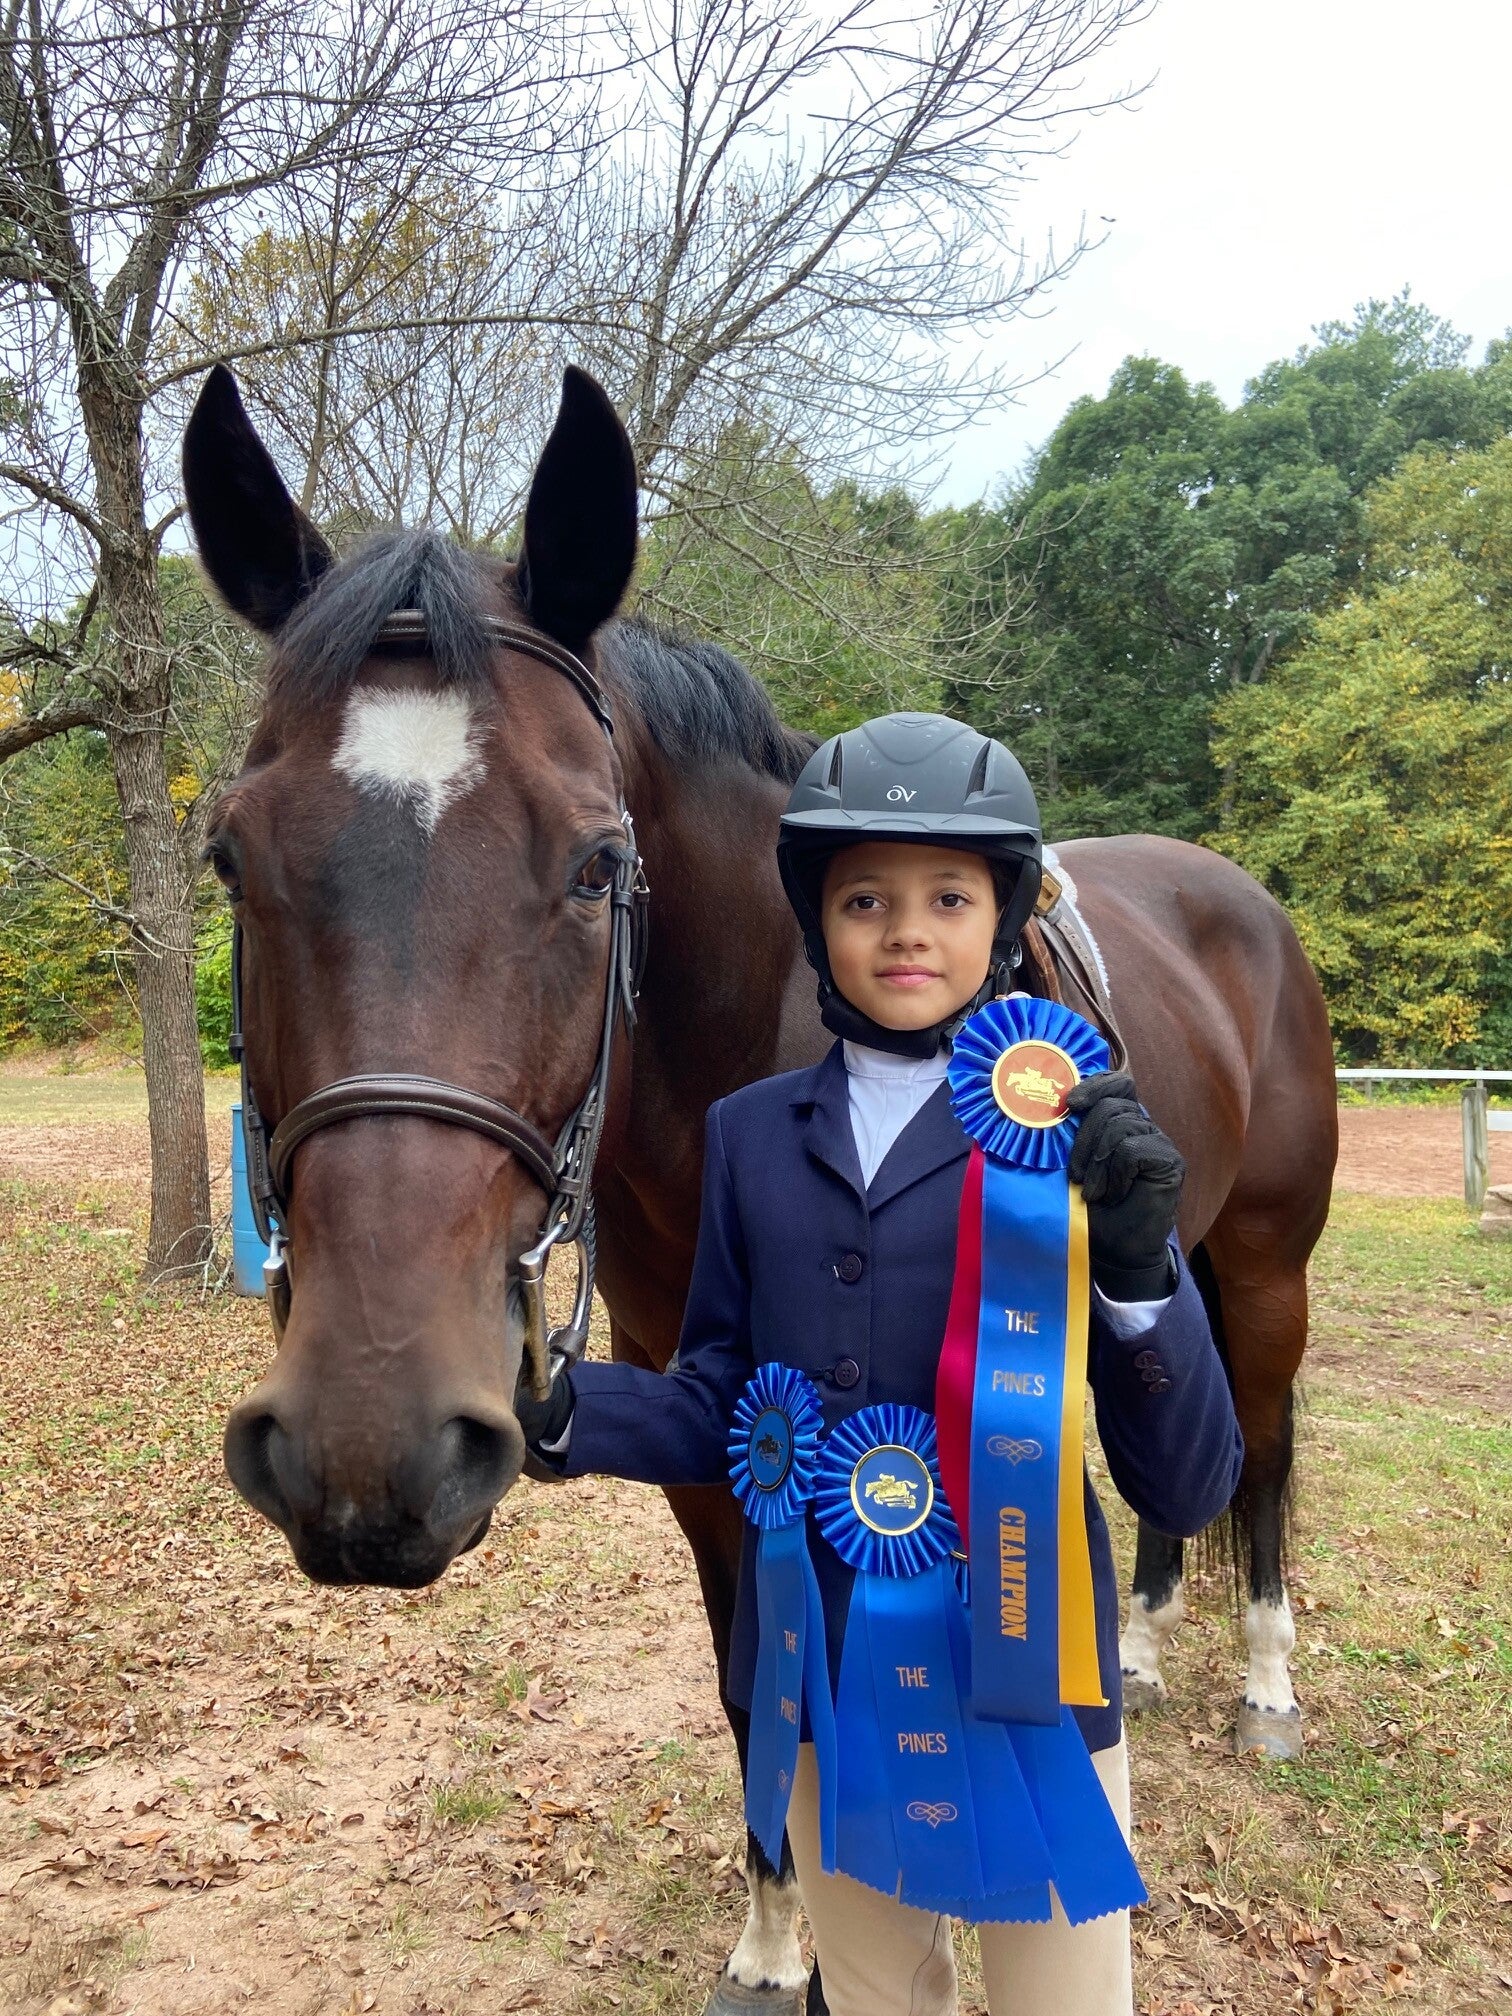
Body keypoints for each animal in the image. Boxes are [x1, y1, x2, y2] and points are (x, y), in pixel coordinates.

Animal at [182, 362, 1337, 2016]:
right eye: (231, 857)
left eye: (596, 867)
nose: (368, 1448)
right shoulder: (714, 1427)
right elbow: (759, 1688)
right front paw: (780, 1942)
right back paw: (1149, 1646)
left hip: (1263, 1267)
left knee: (1263, 1453)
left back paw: (1264, 1684)